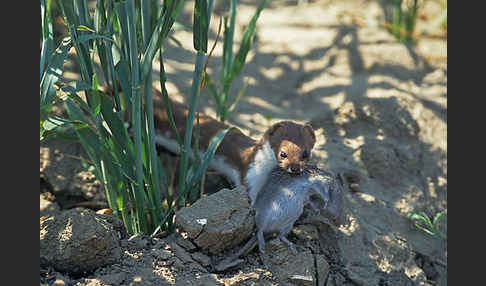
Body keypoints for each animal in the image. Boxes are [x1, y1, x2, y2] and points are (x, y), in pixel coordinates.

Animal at [214, 164, 346, 272]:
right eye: (340, 193)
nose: (339, 222)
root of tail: (269, 230)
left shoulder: (310, 195)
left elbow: (311, 201)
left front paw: (317, 209)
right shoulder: (317, 185)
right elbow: (322, 195)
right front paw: (324, 203)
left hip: (288, 224)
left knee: (280, 236)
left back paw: (292, 247)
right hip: (263, 216)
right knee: (259, 230)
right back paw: (262, 247)